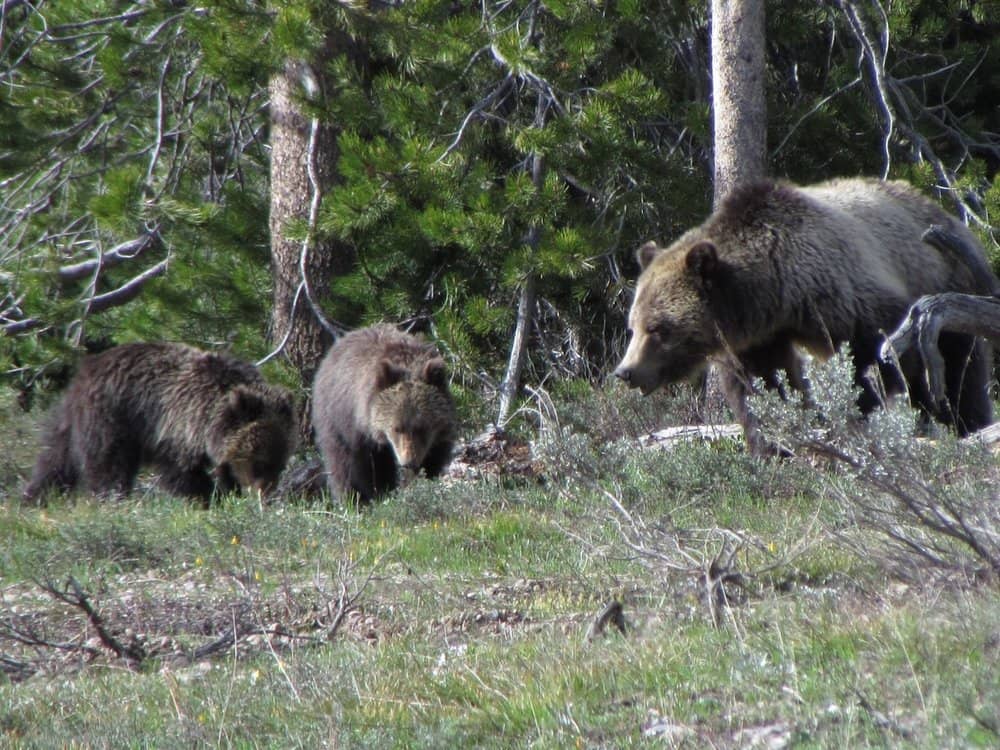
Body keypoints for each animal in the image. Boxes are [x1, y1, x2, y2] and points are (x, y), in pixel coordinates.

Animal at [22, 344, 296, 508]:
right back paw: (112, 498)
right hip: (111, 418)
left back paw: (37, 495)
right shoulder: (174, 427)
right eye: (259, 462)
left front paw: (229, 493)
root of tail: (87, 368)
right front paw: (209, 498)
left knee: (55, 457)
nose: (266, 495)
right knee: (107, 464)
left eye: (280, 464)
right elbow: (181, 474)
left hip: (76, 419)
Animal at [312, 324, 458, 506]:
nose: (408, 462)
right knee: (340, 463)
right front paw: (378, 494)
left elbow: (434, 459)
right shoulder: (359, 432)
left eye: (422, 427)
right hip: (332, 420)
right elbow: (366, 469)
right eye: (397, 428)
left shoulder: (438, 436)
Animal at [616, 179, 992, 456]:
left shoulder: (848, 295)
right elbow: (762, 388)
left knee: (960, 370)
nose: (625, 372)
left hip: (947, 282)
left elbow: (875, 360)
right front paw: (773, 446)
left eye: (657, 328)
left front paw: (858, 417)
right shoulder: (757, 341)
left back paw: (966, 424)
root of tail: (950, 215)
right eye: (633, 326)